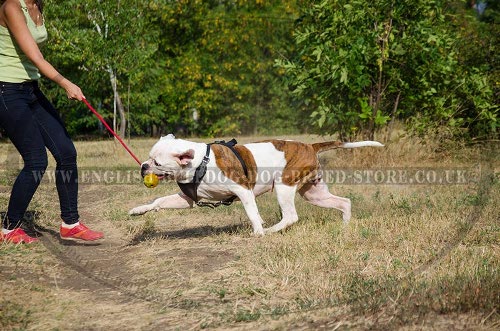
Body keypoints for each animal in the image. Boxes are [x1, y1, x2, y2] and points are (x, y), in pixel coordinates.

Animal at [130, 135, 382, 236]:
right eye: (149, 157)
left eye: (157, 162)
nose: (144, 166)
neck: (200, 161)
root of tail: (310, 146)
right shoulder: (187, 199)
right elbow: (159, 201)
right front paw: (139, 210)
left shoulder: (243, 190)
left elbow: (252, 213)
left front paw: (259, 231)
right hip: (314, 193)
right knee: (344, 202)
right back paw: (345, 225)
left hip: (284, 186)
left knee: (291, 216)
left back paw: (270, 231)